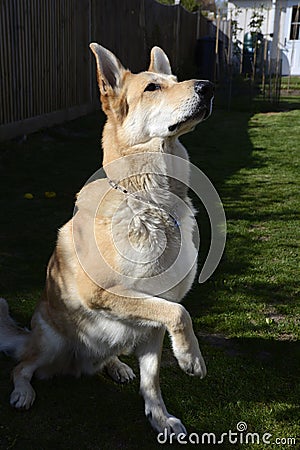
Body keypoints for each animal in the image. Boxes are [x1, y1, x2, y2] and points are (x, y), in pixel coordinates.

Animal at [1, 44, 214, 438]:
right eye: (152, 88)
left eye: (175, 80)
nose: (208, 87)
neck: (151, 200)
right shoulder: (101, 293)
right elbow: (180, 313)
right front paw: (191, 357)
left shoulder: (152, 322)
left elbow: (152, 380)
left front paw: (159, 418)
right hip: (50, 341)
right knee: (21, 367)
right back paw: (23, 391)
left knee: (104, 359)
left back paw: (116, 366)